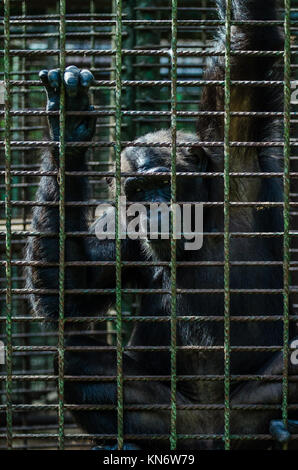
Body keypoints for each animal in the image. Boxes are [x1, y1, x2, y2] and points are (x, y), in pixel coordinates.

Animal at [26, 0, 298, 448]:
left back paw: (284, 429)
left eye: (161, 183)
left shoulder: (236, 151)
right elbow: (70, 289)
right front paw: (69, 126)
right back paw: (124, 441)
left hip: (246, 416)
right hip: (175, 421)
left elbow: (247, 43)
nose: (153, 210)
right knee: (75, 358)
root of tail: (211, 433)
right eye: (137, 189)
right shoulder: (122, 230)